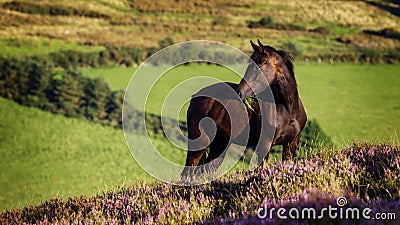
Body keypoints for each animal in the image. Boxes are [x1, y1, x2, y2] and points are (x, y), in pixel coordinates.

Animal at [181, 40, 306, 178]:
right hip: (199, 143)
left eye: (260, 65)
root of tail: (196, 97)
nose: (240, 92)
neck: (288, 110)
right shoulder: (264, 145)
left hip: (220, 144)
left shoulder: (291, 144)